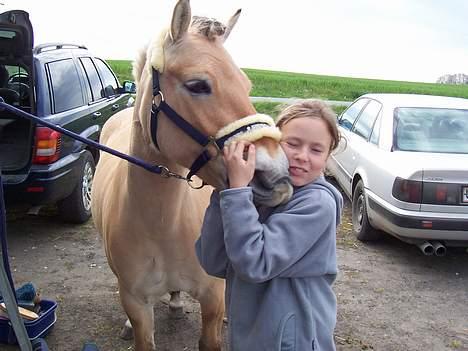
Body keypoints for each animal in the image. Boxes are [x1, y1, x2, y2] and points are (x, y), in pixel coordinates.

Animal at [91, 1, 292, 350]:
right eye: (198, 85)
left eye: (246, 86)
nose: (276, 174)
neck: (163, 225)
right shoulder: (136, 303)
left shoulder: (211, 299)